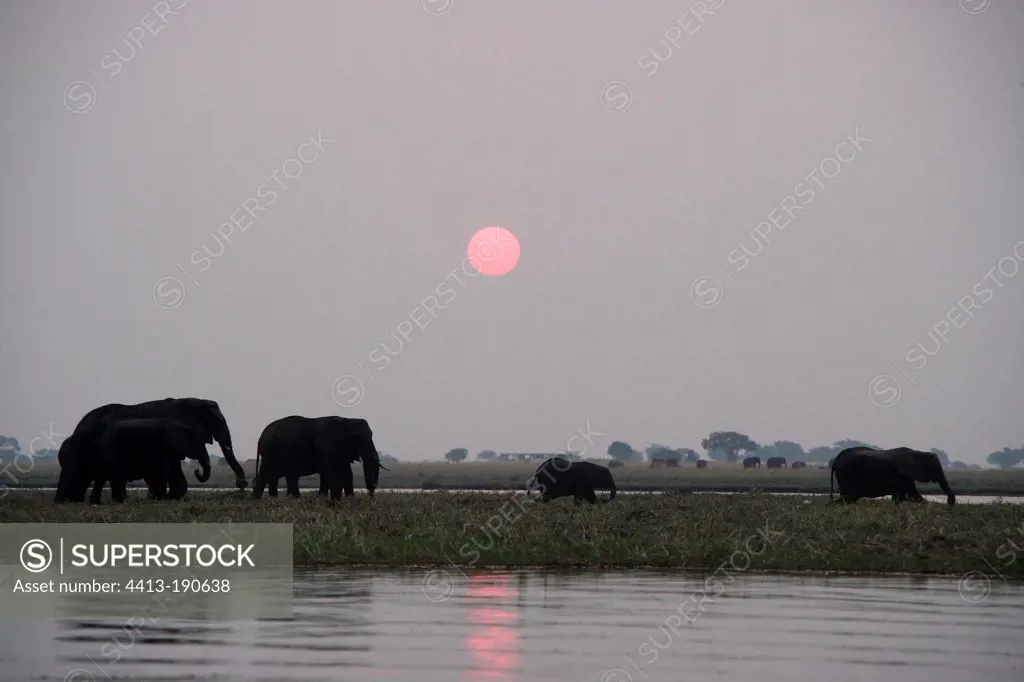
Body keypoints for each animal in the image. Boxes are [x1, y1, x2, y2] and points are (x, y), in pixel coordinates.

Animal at [251, 411, 387, 497]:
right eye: (356, 437)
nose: (371, 495)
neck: (345, 419)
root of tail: (261, 437)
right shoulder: (325, 448)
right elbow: (331, 473)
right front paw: (335, 504)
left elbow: (347, 474)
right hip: (275, 451)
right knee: (289, 475)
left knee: (268, 476)